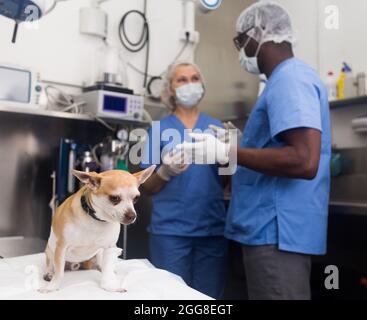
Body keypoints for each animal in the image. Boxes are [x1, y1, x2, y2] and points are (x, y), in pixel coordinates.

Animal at [40, 166, 155, 294]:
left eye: (136, 199)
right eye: (114, 198)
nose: (132, 216)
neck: (97, 219)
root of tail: (76, 264)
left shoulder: (110, 248)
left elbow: (107, 270)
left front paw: (109, 286)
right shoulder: (61, 247)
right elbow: (59, 272)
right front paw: (52, 287)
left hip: (99, 252)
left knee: (102, 263)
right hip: (50, 250)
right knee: (51, 264)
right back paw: (49, 273)